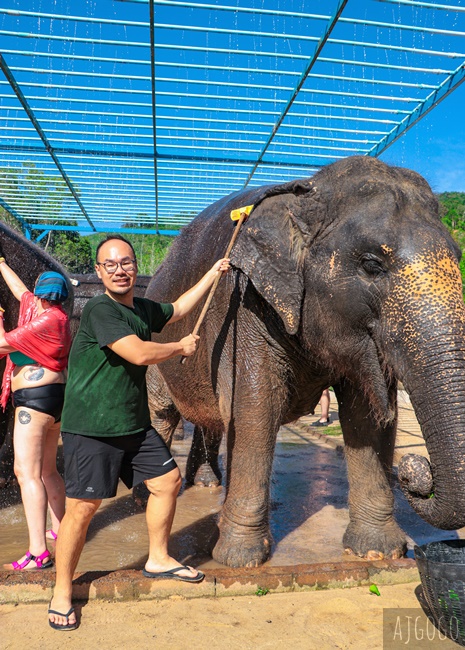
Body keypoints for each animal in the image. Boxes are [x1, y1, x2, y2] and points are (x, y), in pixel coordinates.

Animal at [144, 153, 464, 568]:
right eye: (371, 264)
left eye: (459, 258)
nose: (414, 473)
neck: (307, 190)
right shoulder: (243, 305)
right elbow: (255, 408)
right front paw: (241, 560)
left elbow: (365, 418)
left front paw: (376, 552)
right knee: (162, 414)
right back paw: (147, 493)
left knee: (208, 416)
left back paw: (207, 483)